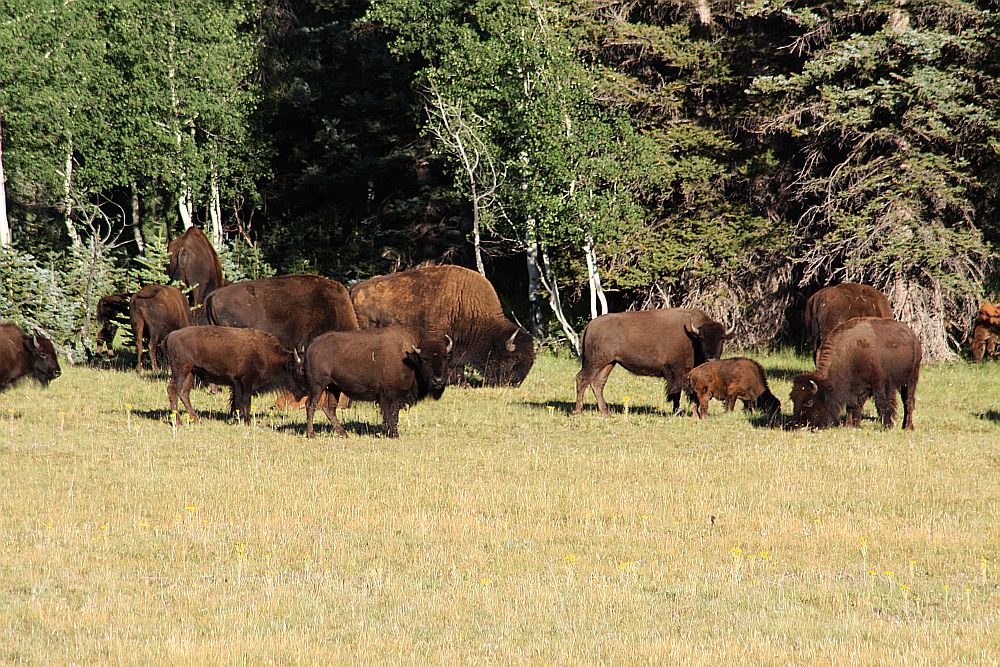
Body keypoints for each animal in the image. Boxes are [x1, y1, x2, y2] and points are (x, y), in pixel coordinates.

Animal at [164, 324, 306, 428]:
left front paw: (237, 419)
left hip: (190, 373)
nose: (305, 390)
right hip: (181, 370)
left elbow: (238, 402)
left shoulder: (238, 384)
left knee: (183, 393)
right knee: (173, 390)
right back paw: (178, 422)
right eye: (299, 369)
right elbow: (246, 402)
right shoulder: (246, 382)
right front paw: (247, 422)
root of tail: (171, 335)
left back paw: (197, 420)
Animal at [300, 324, 450, 438]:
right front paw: (393, 434)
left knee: (329, 408)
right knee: (311, 404)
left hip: (334, 387)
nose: (438, 380)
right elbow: (391, 414)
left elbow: (394, 414)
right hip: (318, 384)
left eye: (445, 358)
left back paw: (344, 434)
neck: (409, 359)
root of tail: (311, 345)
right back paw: (311, 434)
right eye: (424, 359)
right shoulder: (389, 396)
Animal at [576, 310, 732, 414]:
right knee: (582, 379)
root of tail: (590, 325)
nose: (711, 359)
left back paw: (605, 412)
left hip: (608, 363)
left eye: (722, 339)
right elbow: (677, 393)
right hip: (594, 363)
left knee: (597, 383)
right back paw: (578, 411)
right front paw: (678, 412)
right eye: (702, 339)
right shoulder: (677, 372)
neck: (692, 337)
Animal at [788, 320, 920, 434]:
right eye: (793, 399)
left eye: (809, 402)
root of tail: (913, 336)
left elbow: (882, 404)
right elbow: (853, 405)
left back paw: (908, 427)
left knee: (908, 402)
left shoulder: (880, 384)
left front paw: (887, 426)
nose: (798, 426)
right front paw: (850, 424)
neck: (849, 353)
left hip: (911, 379)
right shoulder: (856, 387)